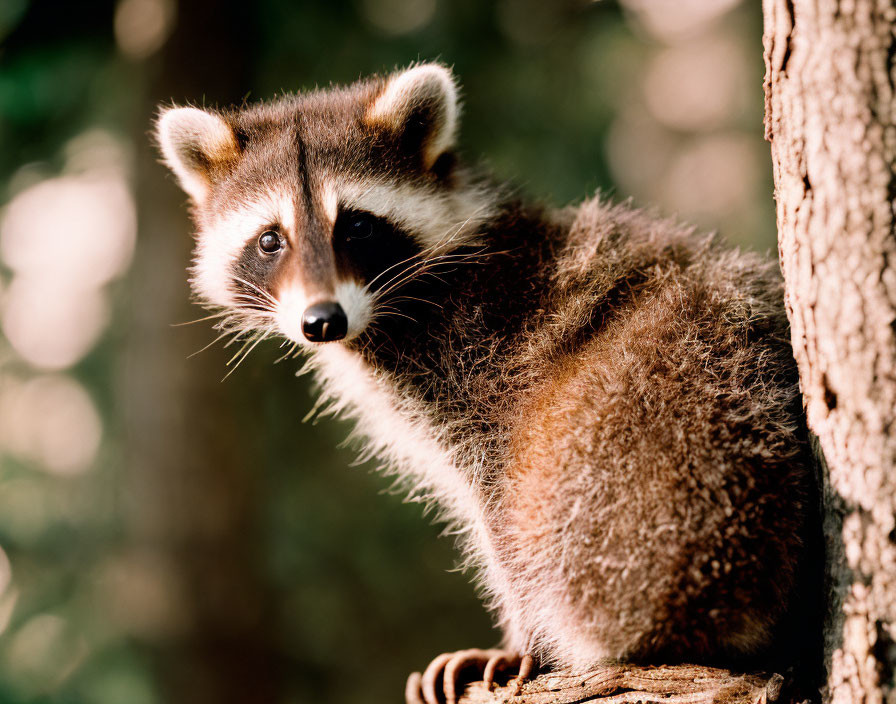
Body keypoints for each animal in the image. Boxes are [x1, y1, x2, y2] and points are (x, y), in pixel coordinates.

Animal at [156, 63, 820, 700]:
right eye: (271, 240)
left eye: (357, 227)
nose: (323, 321)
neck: (393, 308)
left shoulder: (490, 359)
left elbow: (500, 507)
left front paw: (523, 638)